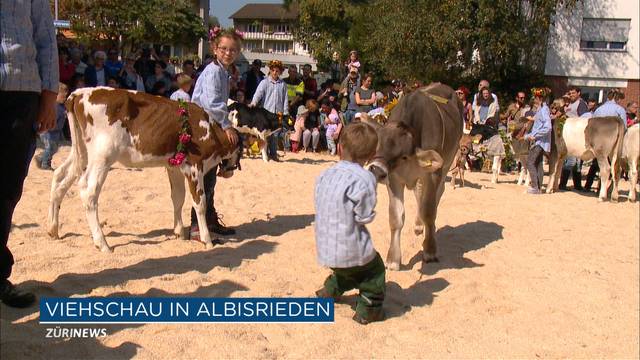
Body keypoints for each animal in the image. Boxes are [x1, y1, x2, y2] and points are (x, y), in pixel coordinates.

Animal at [48, 87, 241, 252]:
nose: (229, 172)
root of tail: (79, 93)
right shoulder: (194, 165)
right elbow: (199, 202)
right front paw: (207, 240)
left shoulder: (174, 166)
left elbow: (178, 197)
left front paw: (179, 232)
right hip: (102, 155)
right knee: (88, 191)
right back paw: (102, 243)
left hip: (81, 152)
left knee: (60, 177)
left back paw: (53, 229)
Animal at [368, 83, 462, 270]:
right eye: (377, 145)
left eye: (402, 156)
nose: (376, 170)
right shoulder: (394, 179)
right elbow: (396, 216)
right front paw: (393, 259)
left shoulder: (432, 174)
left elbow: (429, 211)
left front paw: (430, 250)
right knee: (419, 193)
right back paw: (419, 225)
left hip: (447, 163)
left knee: (436, 196)